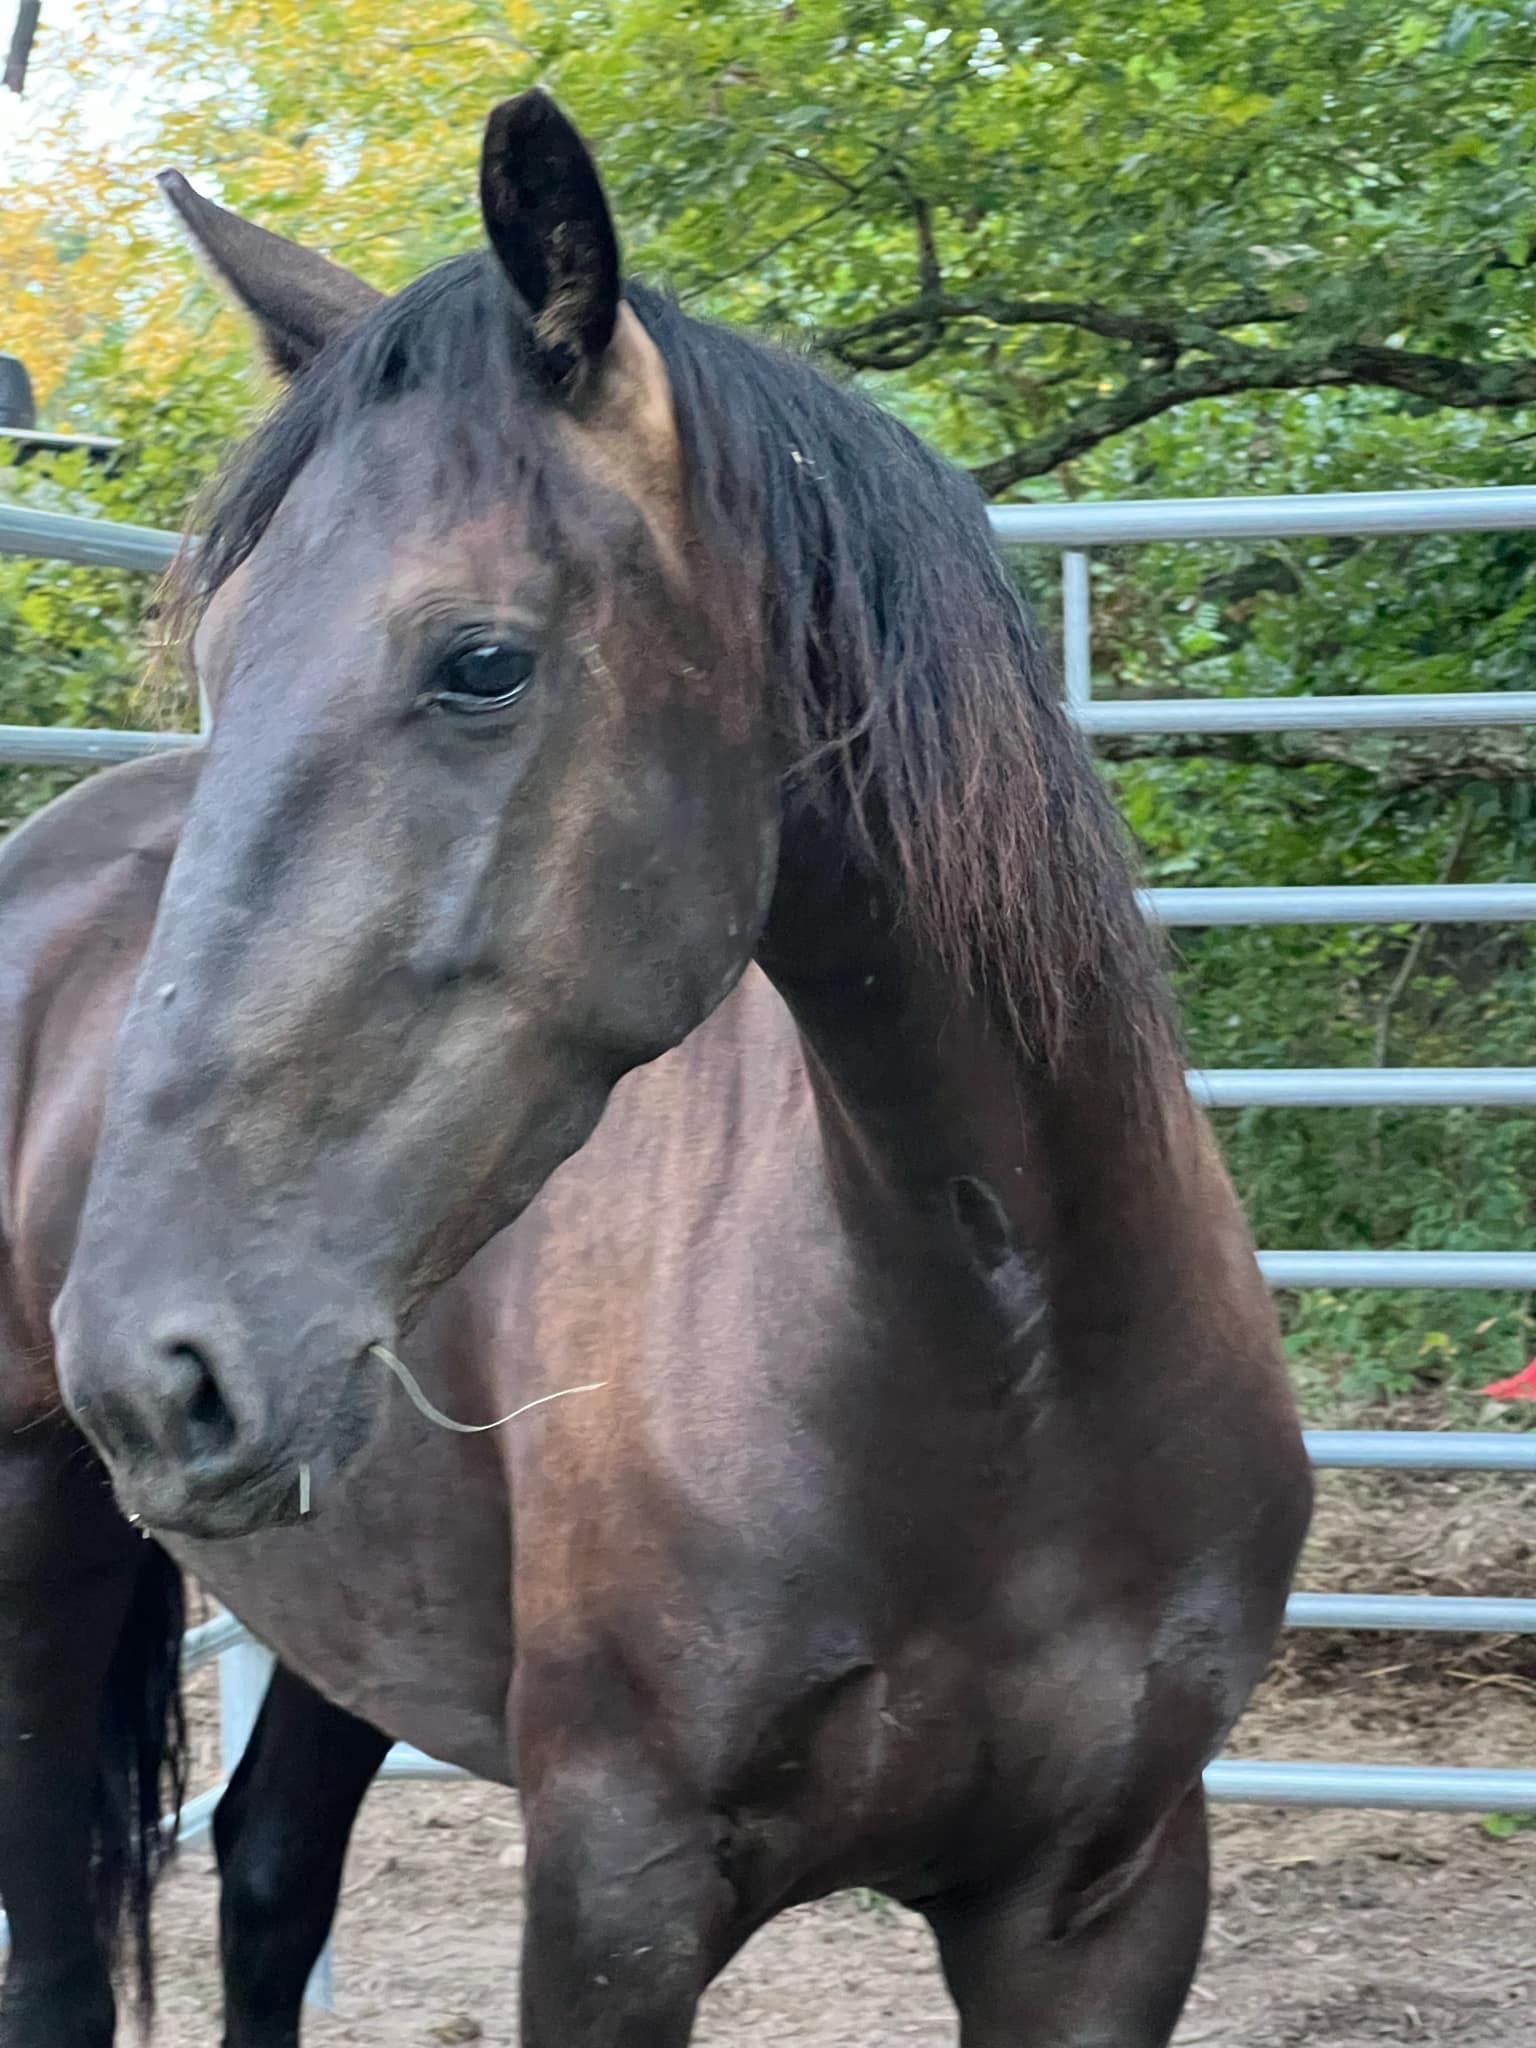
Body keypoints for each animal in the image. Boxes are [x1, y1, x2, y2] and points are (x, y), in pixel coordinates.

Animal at [52, 92, 1312, 2046]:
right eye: (221, 661)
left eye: (482, 663)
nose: (148, 1371)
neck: (1009, 1377)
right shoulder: (615, 1901)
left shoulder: (1106, 1908)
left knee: (266, 1874)